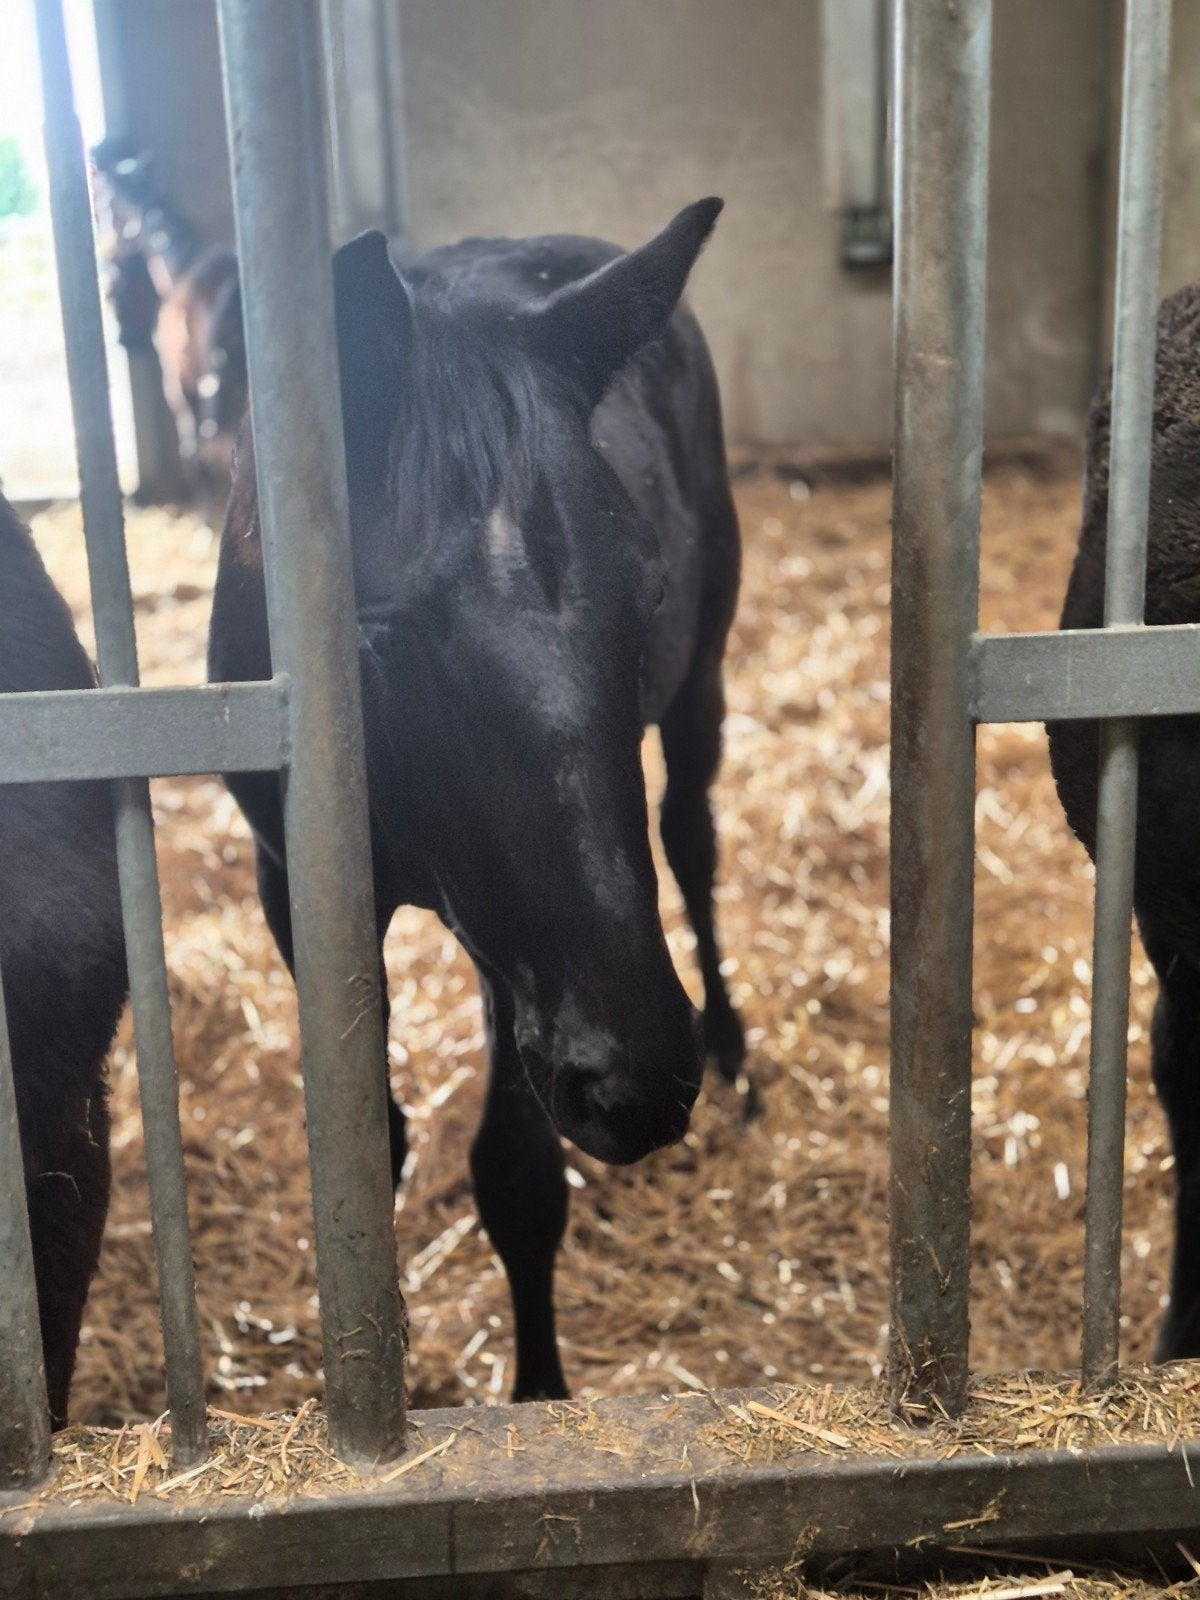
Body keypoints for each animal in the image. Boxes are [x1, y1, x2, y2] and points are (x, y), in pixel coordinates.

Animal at [208, 199, 745, 1401]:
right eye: (377, 636)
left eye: (646, 585)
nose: (640, 1077)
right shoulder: (294, 885)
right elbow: (368, 1142)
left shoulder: (520, 950)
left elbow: (517, 1177)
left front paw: (537, 1396)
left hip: (700, 688)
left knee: (691, 840)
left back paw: (733, 1035)